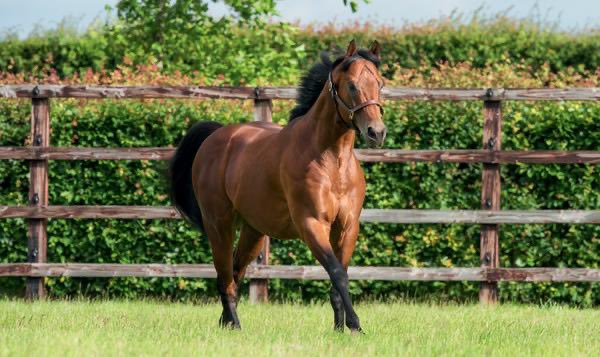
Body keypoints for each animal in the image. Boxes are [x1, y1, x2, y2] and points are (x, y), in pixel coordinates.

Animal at [166, 40, 386, 332]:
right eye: (351, 85)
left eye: (380, 83)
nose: (377, 132)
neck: (331, 160)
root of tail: (216, 136)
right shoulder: (311, 224)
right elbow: (338, 273)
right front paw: (355, 326)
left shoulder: (347, 226)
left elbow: (339, 276)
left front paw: (340, 328)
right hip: (219, 224)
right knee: (224, 275)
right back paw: (234, 324)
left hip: (253, 231)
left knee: (235, 271)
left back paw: (226, 322)